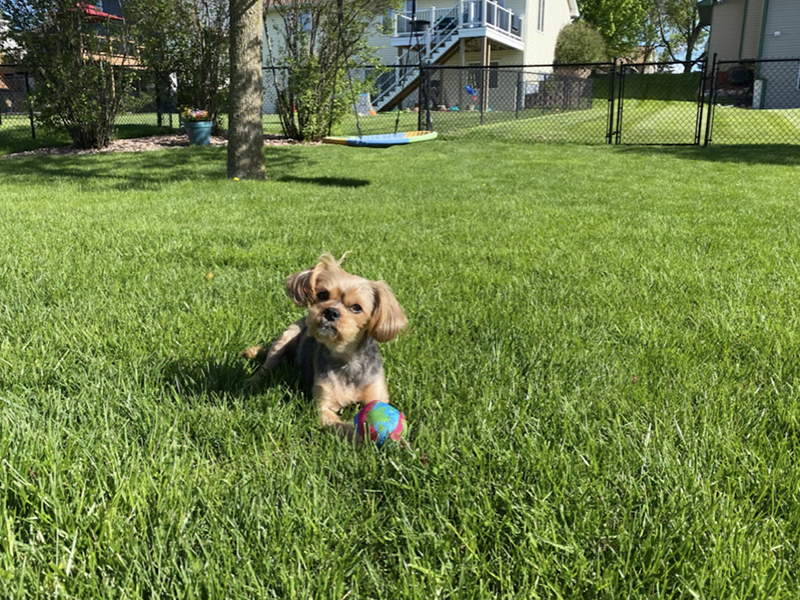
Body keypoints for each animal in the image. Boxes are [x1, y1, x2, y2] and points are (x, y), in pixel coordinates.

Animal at [242, 251, 406, 434]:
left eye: (357, 307)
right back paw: (251, 381)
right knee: (267, 366)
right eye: (323, 295)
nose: (331, 312)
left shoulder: (377, 395)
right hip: (285, 337)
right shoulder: (323, 406)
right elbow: (345, 428)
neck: (347, 358)